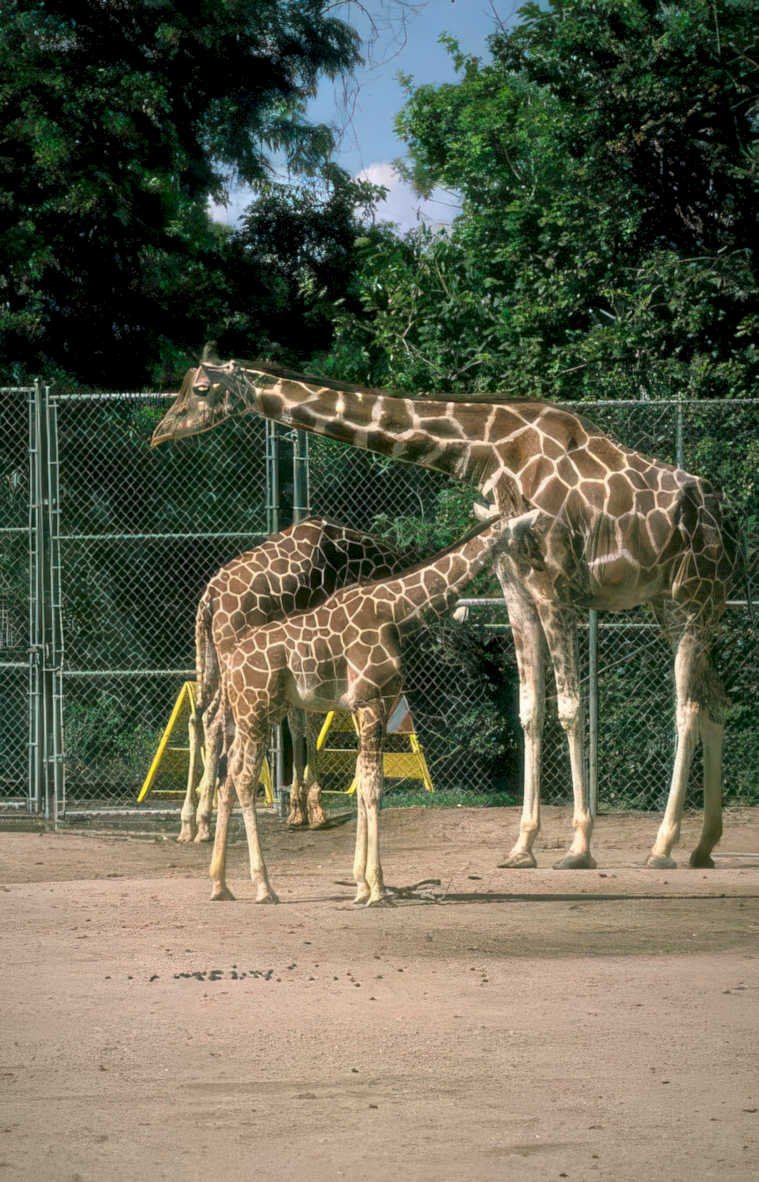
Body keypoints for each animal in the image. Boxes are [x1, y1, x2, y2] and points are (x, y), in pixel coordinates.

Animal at [179, 517, 405, 843]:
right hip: (234, 659)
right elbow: (309, 720)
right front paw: (314, 808)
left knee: (201, 717)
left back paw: (192, 822)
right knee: (217, 721)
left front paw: (300, 808)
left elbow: (298, 721)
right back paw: (204, 821)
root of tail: (209, 599)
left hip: (210, 653)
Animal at [208, 510, 539, 904]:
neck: (396, 611)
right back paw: (263, 887)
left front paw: (361, 885)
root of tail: (230, 662)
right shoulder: (370, 701)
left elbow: (364, 782)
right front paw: (377, 888)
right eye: (527, 535)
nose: (540, 566)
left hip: (254, 713)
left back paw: (220, 884)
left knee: (229, 775)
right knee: (244, 778)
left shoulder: (371, 702)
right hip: (256, 712)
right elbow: (373, 788)